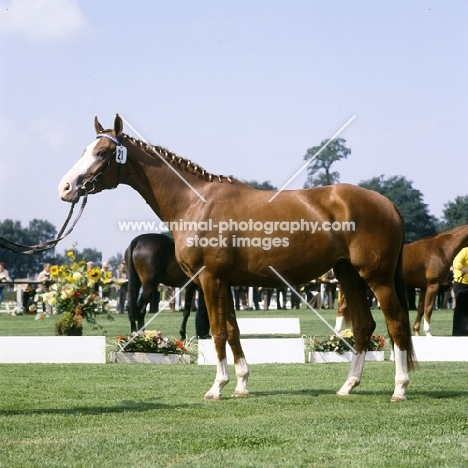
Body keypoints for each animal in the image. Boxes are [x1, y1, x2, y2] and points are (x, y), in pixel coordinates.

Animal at [59, 115, 416, 400]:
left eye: (102, 153)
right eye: (84, 151)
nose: (65, 187)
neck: (194, 203)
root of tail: (387, 202)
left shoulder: (210, 279)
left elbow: (217, 332)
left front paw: (217, 387)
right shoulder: (225, 282)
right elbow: (232, 330)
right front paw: (242, 384)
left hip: (377, 278)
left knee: (397, 323)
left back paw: (399, 388)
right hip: (348, 275)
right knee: (364, 326)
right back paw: (348, 385)